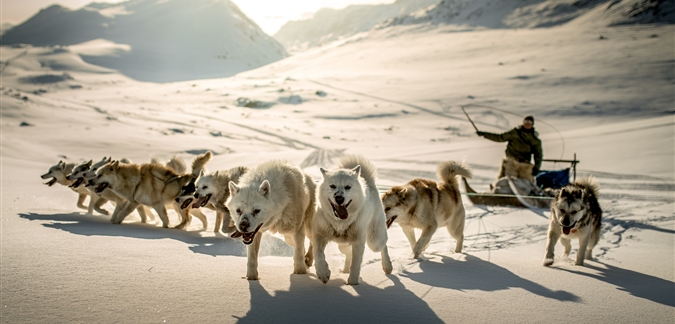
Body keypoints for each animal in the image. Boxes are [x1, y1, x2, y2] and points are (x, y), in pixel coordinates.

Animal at [314, 156, 394, 284]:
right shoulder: (319, 236)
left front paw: (352, 283)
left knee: (384, 246)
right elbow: (318, 255)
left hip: (374, 241)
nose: (339, 198)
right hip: (342, 245)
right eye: (332, 186)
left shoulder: (358, 242)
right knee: (347, 253)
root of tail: (368, 183)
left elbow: (355, 265)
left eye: (348, 187)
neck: (340, 223)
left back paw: (387, 266)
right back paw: (345, 269)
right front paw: (323, 273)